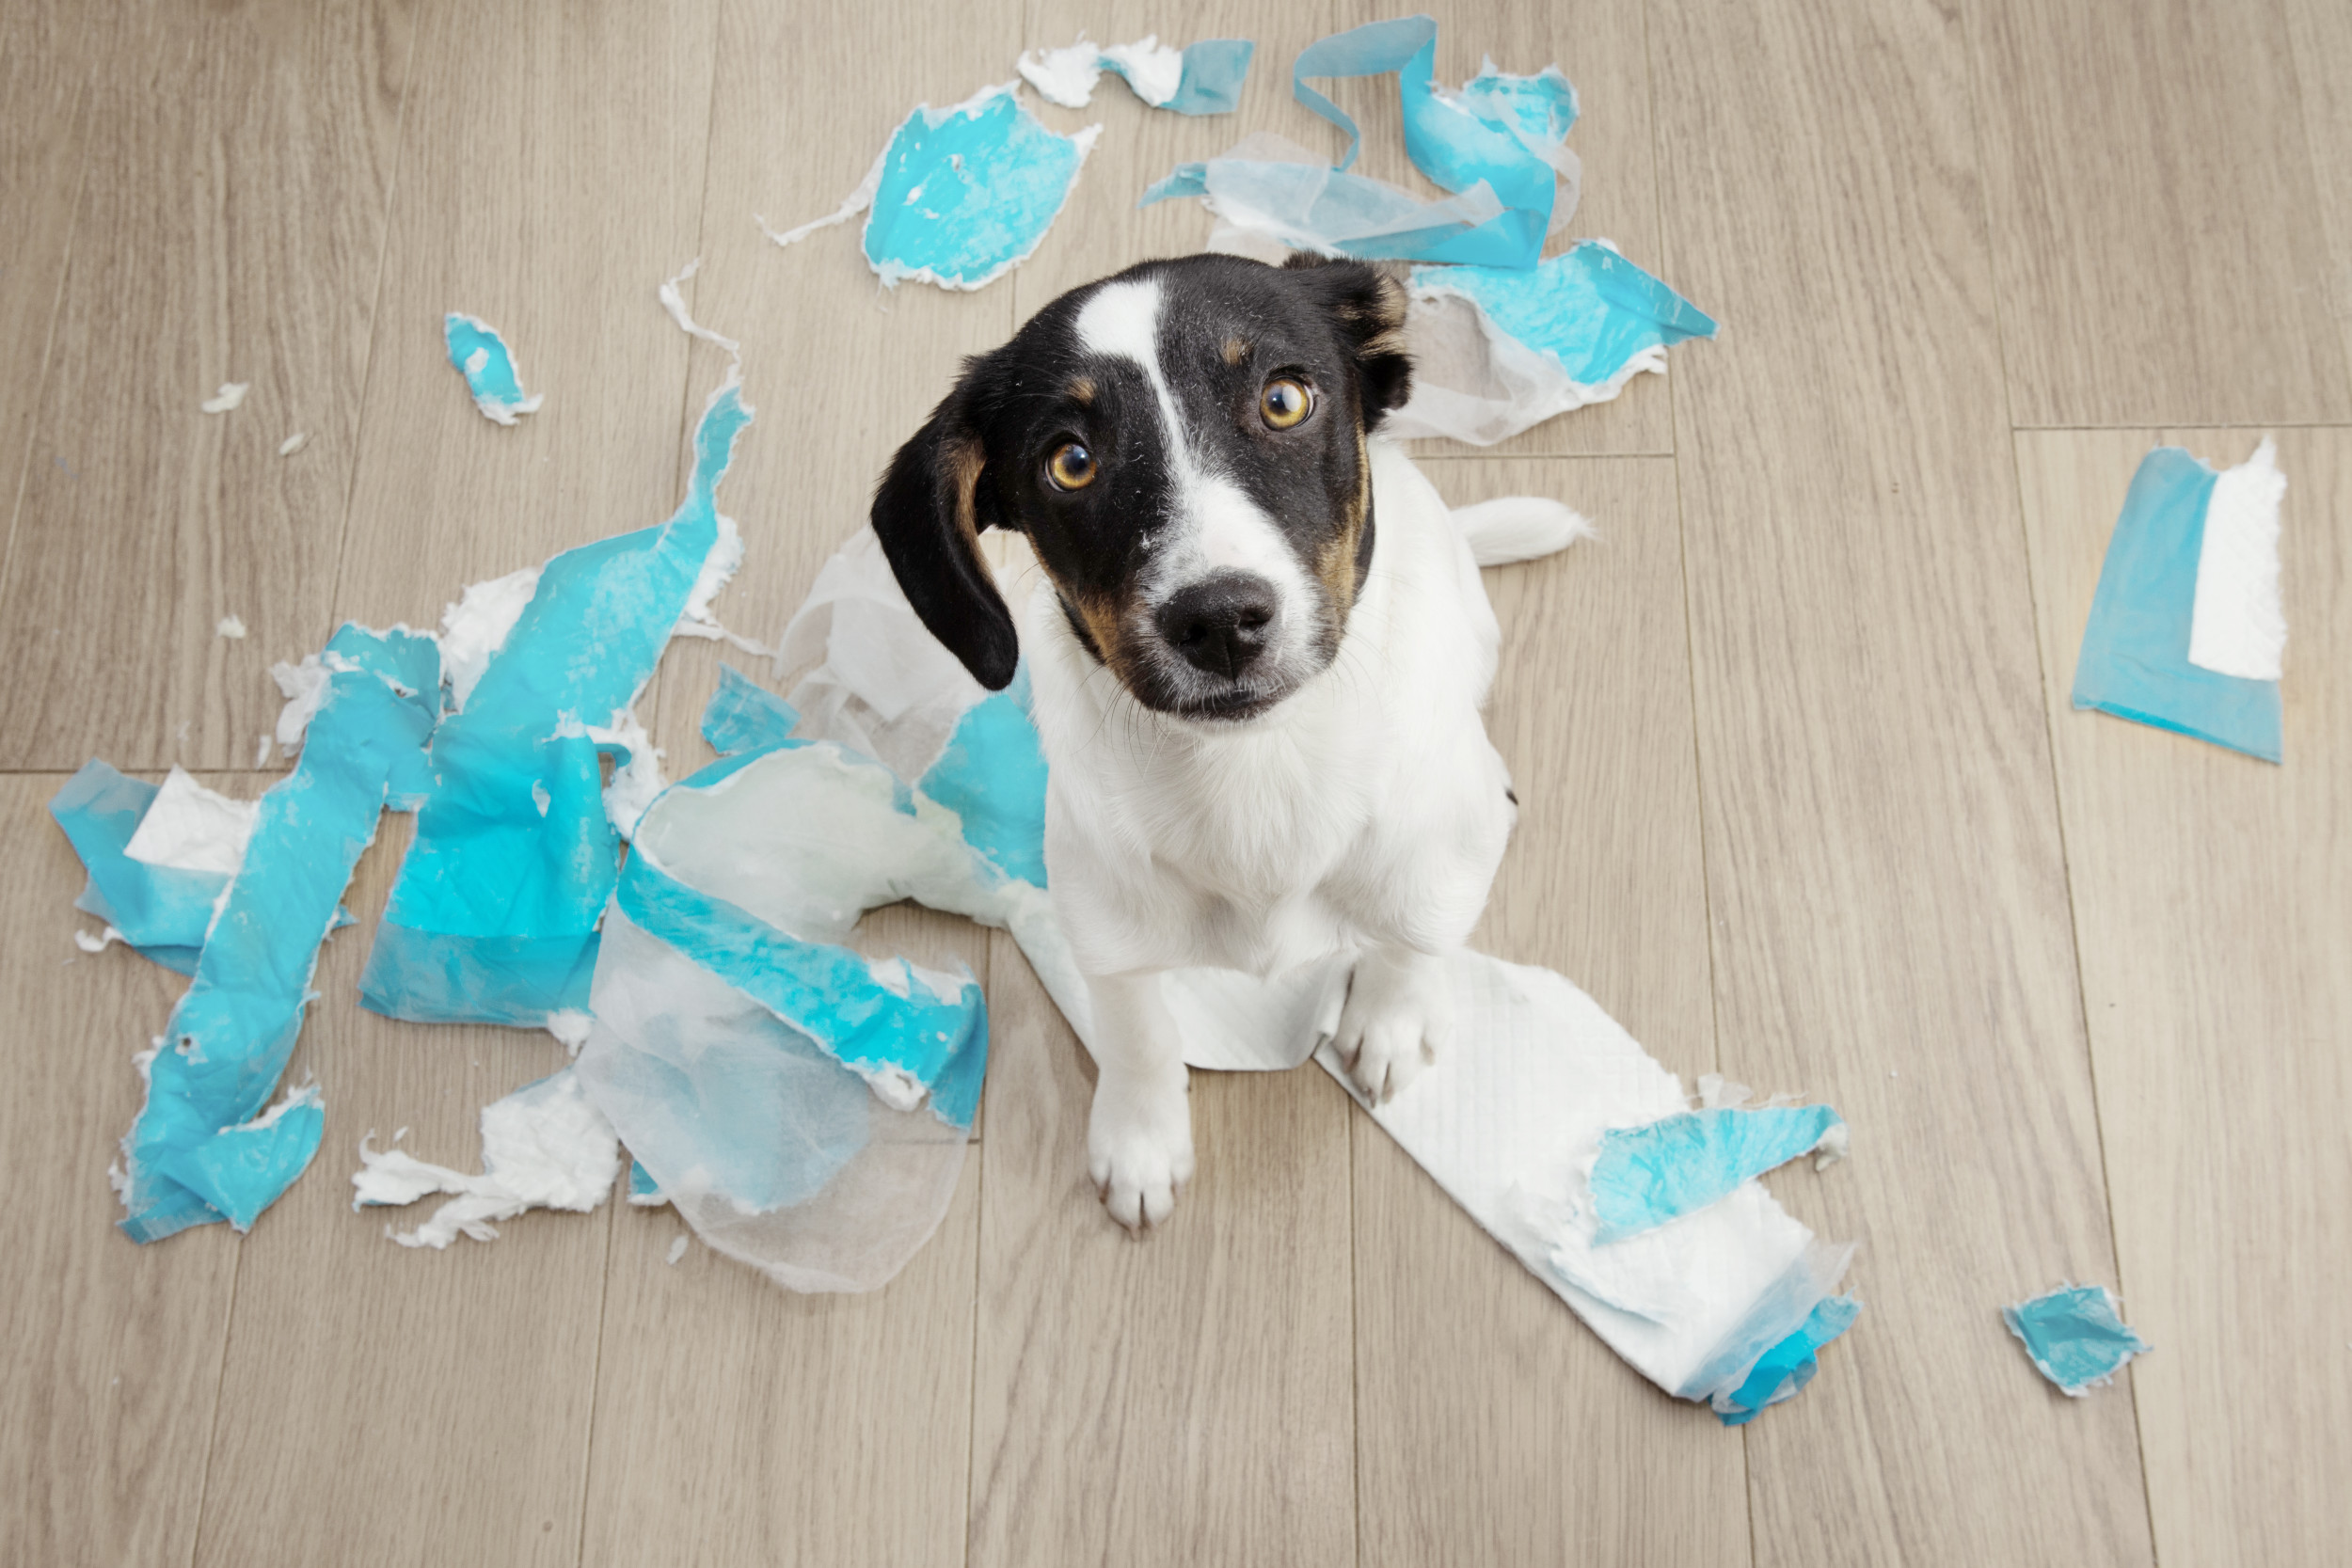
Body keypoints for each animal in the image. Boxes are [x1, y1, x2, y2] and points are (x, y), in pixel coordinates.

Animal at [866, 257, 1581, 1231]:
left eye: (1284, 399)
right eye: (1070, 462)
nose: (1219, 621)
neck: (1256, 773)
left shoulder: (1435, 864)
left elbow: (1413, 937)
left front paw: (1390, 1021)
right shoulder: (1106, 919)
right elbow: (1135, 1032)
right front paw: (1140, 1142)